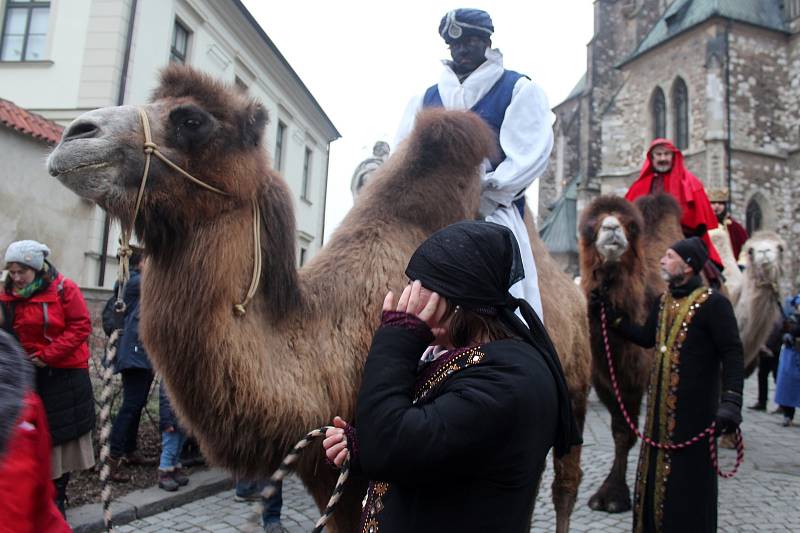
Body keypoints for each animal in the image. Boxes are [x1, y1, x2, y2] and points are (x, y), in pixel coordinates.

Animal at [576, 192, 680, 512]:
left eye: (630, 226)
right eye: (591, 226)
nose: (611, 228)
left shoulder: (637, 376)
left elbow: (628, 434)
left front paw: (614, 495)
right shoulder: (606, 380)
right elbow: (621, 431)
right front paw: (609, 494)